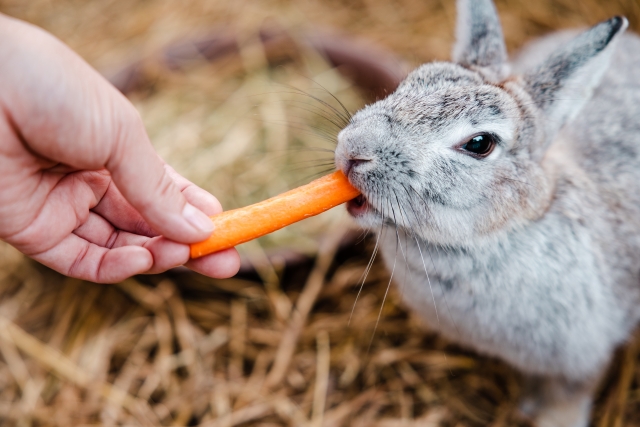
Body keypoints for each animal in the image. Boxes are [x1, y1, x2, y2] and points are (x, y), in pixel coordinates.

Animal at [332, 0, 640, 427]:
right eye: (410, 81)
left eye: (479, 144)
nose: (353, 150)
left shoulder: (584, 353)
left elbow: (569, 394)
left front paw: (551, 418)